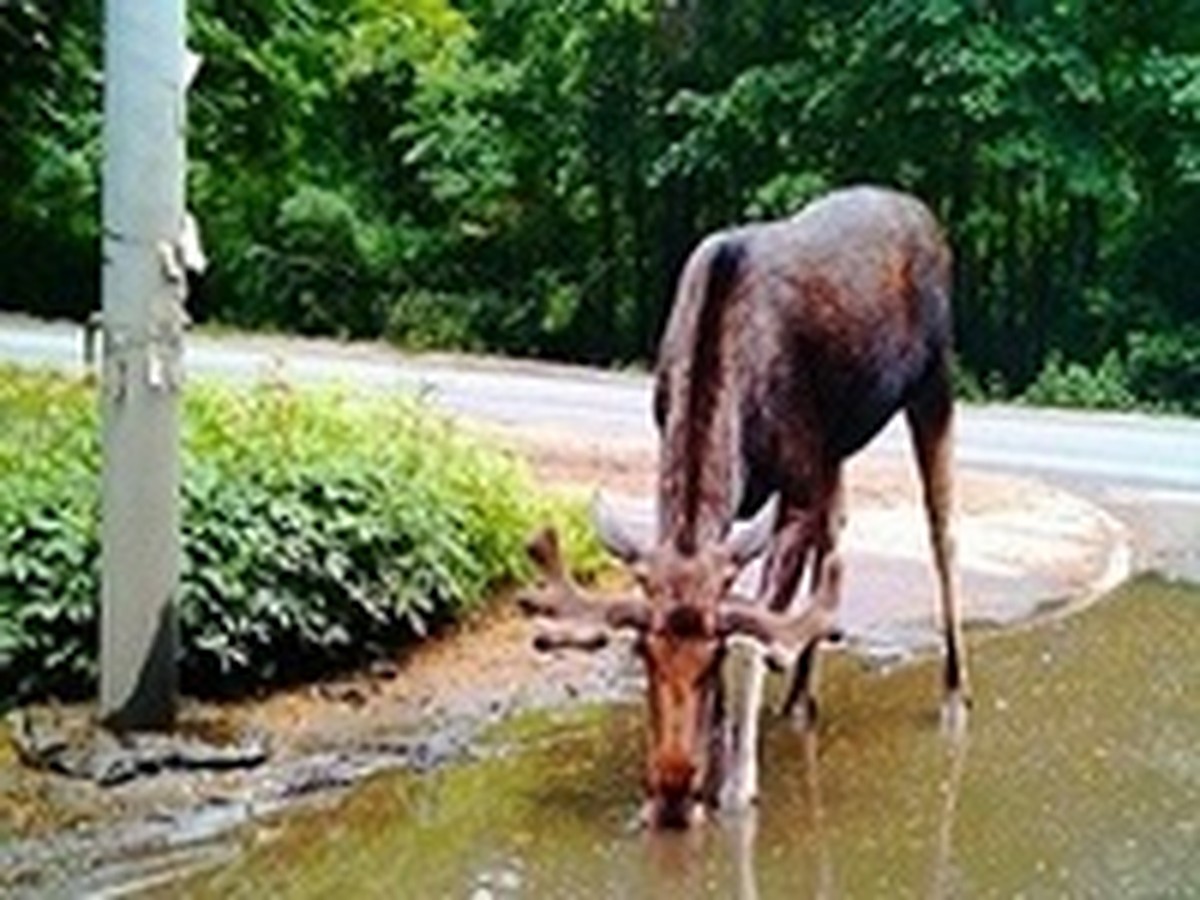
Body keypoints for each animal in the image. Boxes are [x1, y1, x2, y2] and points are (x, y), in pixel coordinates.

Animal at [520, 187, 969, 830]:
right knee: (836, 539)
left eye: (711, 661)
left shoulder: (797, 483)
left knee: (942, 530)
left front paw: (736, 786)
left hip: (934, 380)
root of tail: (924, 214)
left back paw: (954, 695)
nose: (672, 788)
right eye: (642, 653)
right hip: (837, 447)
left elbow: (756, 633)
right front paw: (707, 771)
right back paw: (801, 699)